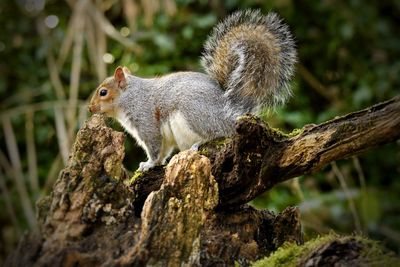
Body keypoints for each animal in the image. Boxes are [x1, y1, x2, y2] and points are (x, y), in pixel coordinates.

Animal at [89, 9, 296, 172]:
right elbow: (163, 150)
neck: (130, 97)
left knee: (220, 132)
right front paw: (156, 163)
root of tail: (231, 113)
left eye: (103, 92)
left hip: (194, 112)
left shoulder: (146, 121)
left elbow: (154, 147)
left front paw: (148, 164)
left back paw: (199, 143)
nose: (90, 109)